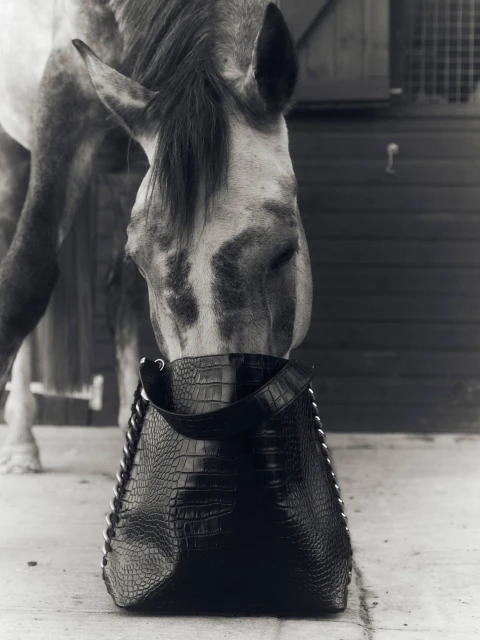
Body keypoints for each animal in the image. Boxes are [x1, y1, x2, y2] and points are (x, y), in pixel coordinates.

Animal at [0, 0, 313, 473]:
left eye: (284, 252)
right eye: (142, 262)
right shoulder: (63, 87)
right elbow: (24, 281)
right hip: (15, 156)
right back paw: (21, 444)